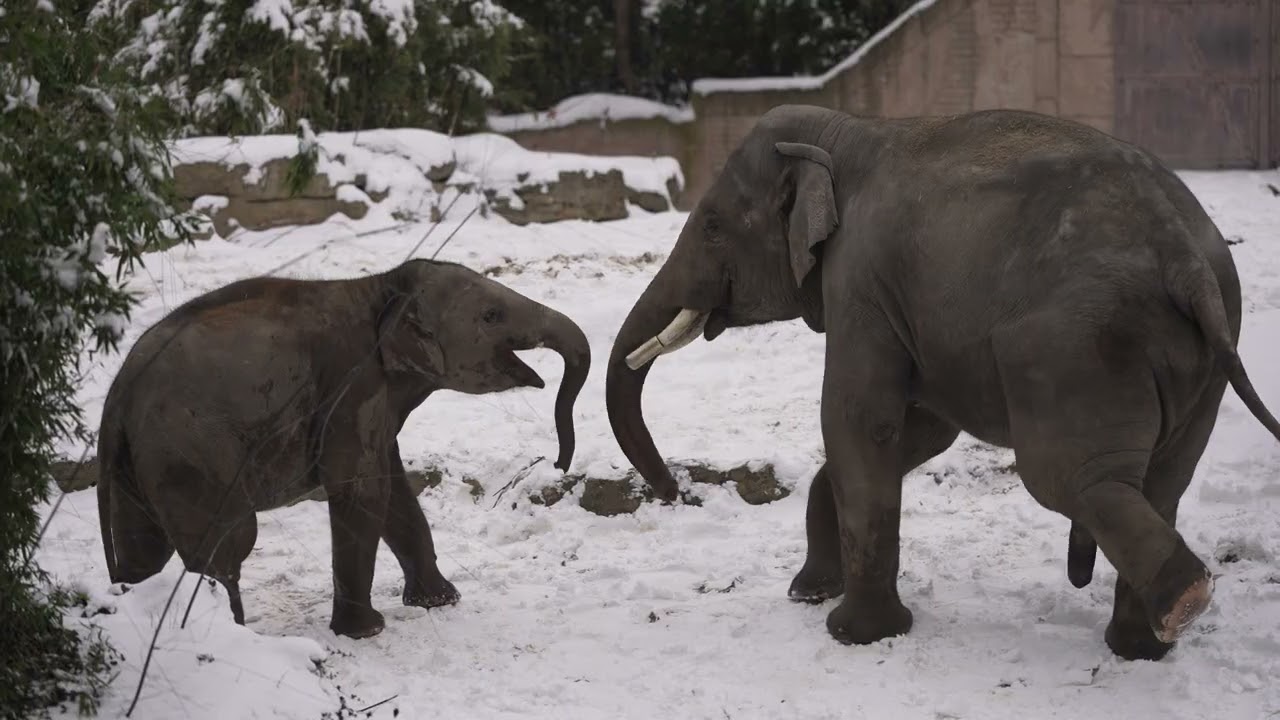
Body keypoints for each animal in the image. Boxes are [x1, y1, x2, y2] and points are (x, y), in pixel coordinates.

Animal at [97, 258, 590, 639]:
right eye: (491, 316)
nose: (560, 461)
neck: (379, 286)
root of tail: (118, 393)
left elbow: (394, 491)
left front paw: (441, 601)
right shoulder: (352, 384)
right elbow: (363, 491)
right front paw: (367, 631)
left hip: (137, 461)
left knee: (145, 549)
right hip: (191, 450)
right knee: (228, 546)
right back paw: (232, 636)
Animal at [605, 104, 1280, 661]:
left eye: (713, 225)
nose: (672, 490)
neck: (845, 132)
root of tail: (1185, 258)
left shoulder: (860, 279)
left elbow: (858, 418)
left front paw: (855, 633)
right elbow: (922, 430)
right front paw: (808, 593)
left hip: (1075, 348)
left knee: (1074, 477)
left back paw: (1182, 603)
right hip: (1204, 350)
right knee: (1163, 480)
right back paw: (1141, 648)